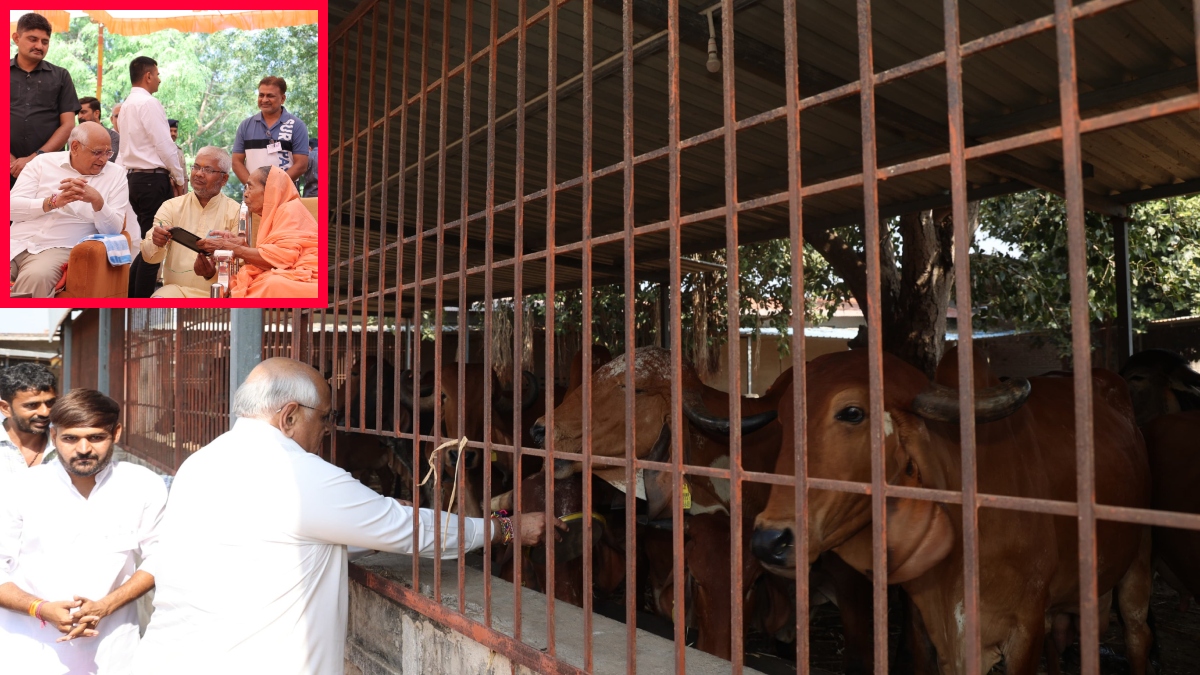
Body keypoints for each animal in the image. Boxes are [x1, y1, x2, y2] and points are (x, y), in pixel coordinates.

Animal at [748, 345, 1152, 672]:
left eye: (851, 412)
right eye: (782, 420)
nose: (769, 541)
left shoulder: (1027, 626)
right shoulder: (925, 628)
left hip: (1136, 566)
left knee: (1137, 634)